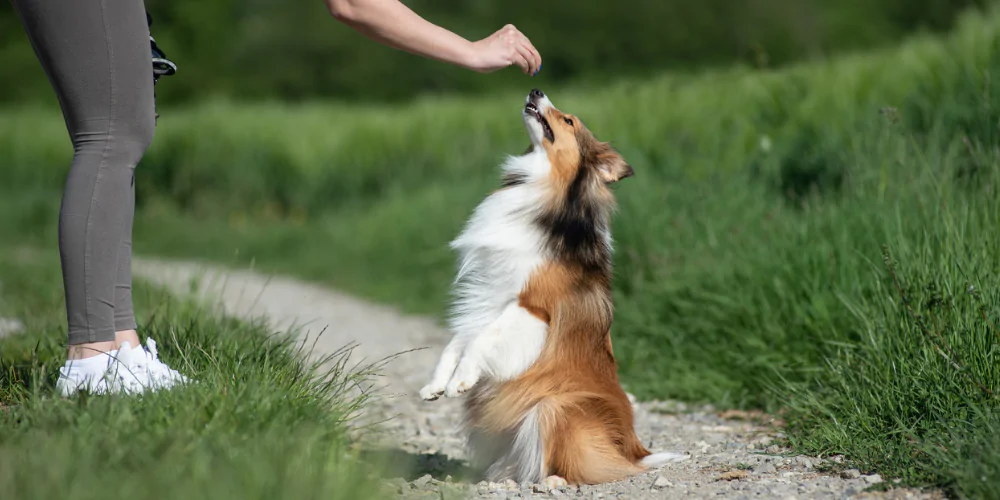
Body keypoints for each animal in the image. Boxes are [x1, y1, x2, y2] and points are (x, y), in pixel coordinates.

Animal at [420, 89, 688, 484]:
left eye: (569, 121)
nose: (536, 91)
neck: (545, 186)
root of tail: (637, 451)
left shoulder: (532, 305)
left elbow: (483, 338)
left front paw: (461, 382)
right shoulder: (489, 292)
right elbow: (459, 339)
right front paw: (436, 384)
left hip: (554, 405)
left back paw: (550, 481)